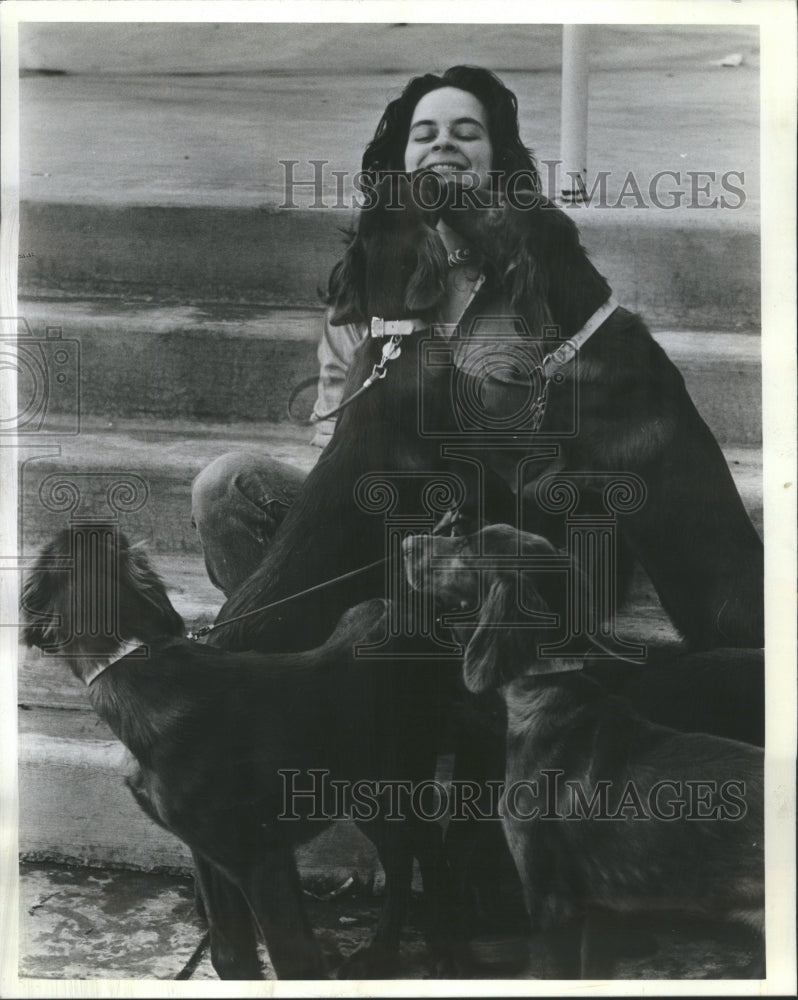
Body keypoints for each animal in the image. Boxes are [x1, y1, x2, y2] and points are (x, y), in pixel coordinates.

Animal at [20, 528, 462, 980]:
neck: (134, 661)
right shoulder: (210, 852)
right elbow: (230, 954)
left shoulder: (260, 859)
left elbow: (294, 961)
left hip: (387, 783)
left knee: (418, 849)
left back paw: (421, 950)